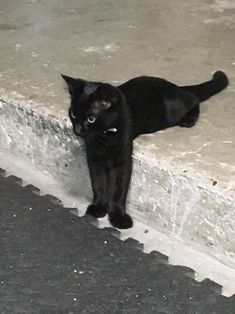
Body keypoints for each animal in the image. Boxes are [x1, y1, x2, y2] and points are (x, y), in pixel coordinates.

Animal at [62, 70, 228, 228]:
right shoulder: (94, 157)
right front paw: (98, 207)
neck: (104, 136)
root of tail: (174, 86)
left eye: (91, 119)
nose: (77, 130)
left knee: (193, 98)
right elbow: (98, 183)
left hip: (173, 111)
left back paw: (189, 119)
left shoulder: (123, 159)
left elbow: (118, 188)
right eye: (73, 114)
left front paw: (119, 217)